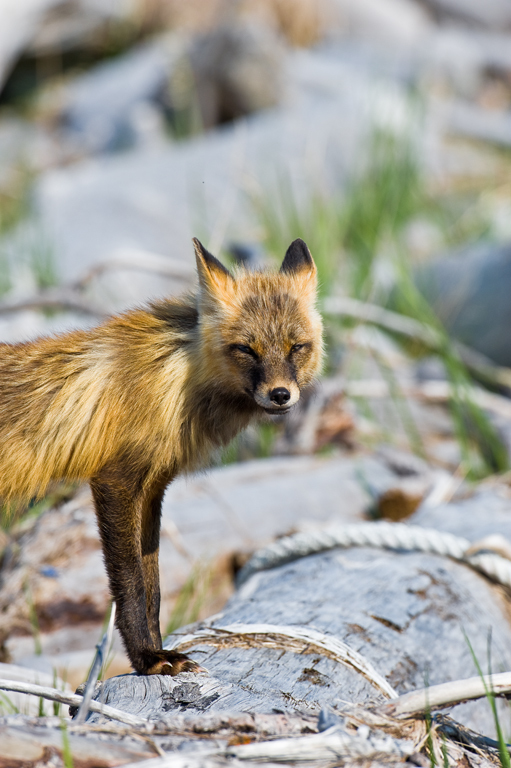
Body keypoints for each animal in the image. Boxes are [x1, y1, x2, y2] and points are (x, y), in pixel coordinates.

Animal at [0, 237, 324, 676]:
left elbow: (153, 587)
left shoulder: (152, 489)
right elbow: (131, 584)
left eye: (297, 348)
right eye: (246, 349)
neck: (173, 380)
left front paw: (156, 649)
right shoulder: (115, 481)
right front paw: (147, 659)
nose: (280, 395)